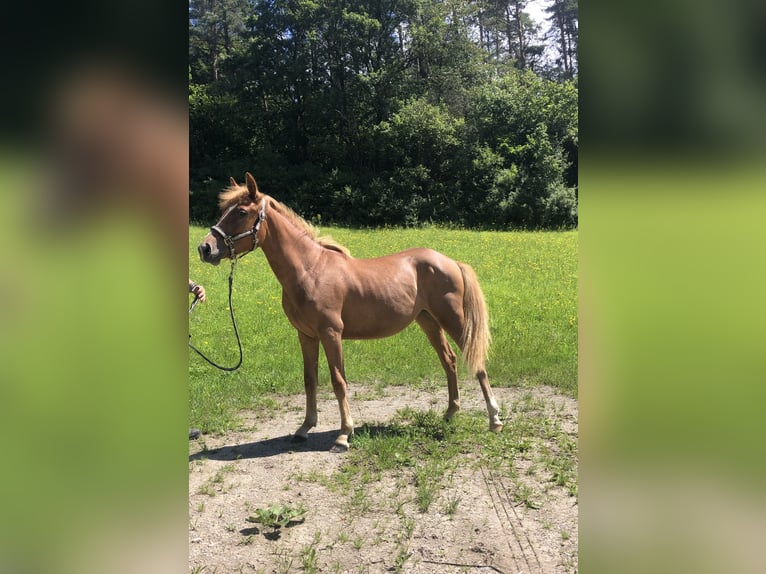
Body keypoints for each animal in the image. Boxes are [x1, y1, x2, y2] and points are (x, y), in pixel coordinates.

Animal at [198, 173, 504, 452]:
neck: (310, 270)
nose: (205, 248)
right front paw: (304, 428)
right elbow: (310, 380)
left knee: (475, 361)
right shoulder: (306, 336)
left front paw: (343, 434)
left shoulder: (331, 333)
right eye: (223, 211)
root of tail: (450, 261)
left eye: (241, 212)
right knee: (448, 359)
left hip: (453, 319)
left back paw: (494, 419)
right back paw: (450, 413)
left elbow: (338, 381)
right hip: (427, 320)